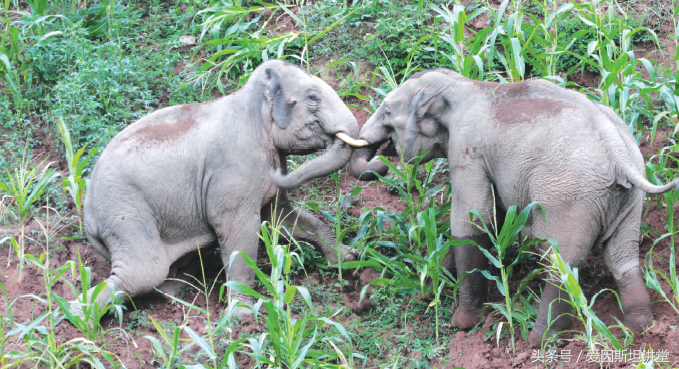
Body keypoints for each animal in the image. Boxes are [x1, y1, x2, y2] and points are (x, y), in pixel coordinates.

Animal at [82, 59, 364, 312]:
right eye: (313, 97)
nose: (276, 172)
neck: (249, 102)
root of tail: (87, 214)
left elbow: (280, 218)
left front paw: (348, 257)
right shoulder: (233, 170)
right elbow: (240, 231)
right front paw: (243, 315)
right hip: (123, 209)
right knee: (143, 273)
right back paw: (80, 316)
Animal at [348, 68, 676, 344]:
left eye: (387, 111)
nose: (383, 156)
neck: (463, 85)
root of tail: (617, 151)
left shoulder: (467, 151)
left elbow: (473, 218)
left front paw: (462, 323)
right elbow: (495, 215)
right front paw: (438, 284)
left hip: (569, 200)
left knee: (558, 262)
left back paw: (539, 342)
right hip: (630, 200)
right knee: (621, 257)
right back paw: (639, 329)